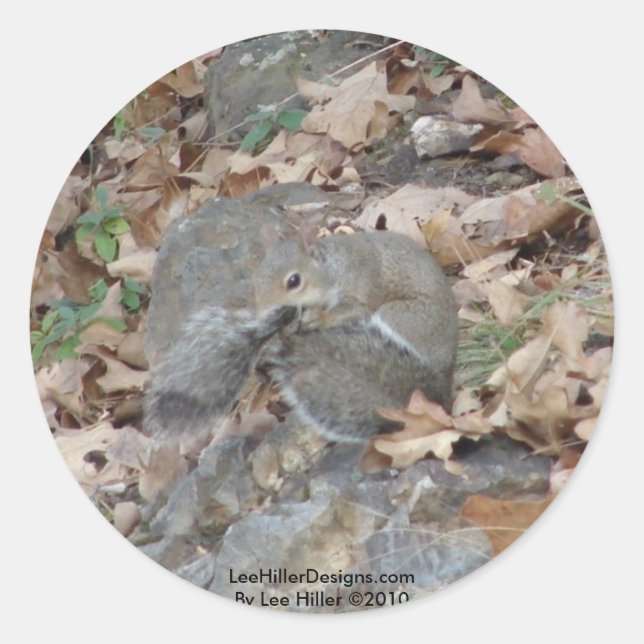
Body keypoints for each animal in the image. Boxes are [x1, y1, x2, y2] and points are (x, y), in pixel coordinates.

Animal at [144, 230, 458, 443]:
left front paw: (316, 319)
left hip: (402, 318)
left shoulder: (362, 286)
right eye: (256, 279)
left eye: (293, 281)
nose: (266, 312)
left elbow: (353, 310)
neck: (333, 269)